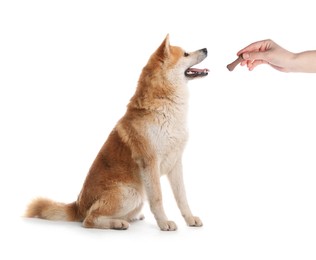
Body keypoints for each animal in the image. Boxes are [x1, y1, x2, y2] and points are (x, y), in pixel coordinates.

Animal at [25, 34, 209, 232]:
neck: (166, 107)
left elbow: (182, 197)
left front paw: (190, 219)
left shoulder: (176, 163)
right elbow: (158, 199)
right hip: (131, 193)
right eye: (186, 54)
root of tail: (77, 206)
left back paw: (130, 218)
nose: (206, 49)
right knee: (89, 220)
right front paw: (164, 223)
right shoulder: (150, 163)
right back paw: (118, 223)